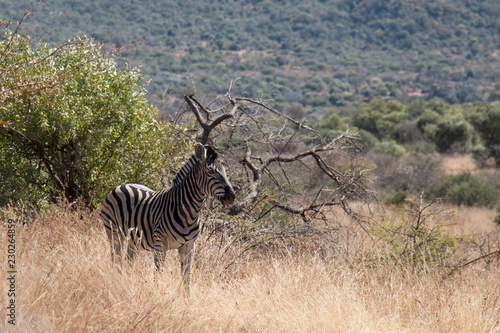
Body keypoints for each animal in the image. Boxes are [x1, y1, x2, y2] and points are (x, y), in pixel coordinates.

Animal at [101, 143, 236, 294]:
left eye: (224, 171)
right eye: (210, 171)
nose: (231, 196)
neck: (188, 212)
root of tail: (122, 185)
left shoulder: (189, 245)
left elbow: (187, 276)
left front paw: (187, 298)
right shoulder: (160, 243)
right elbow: (158, 273)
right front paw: (156, 295)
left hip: (134, 239)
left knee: (129, 261)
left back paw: (128, 285)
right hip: (113, 232)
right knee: (116, 260)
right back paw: (117, 283)